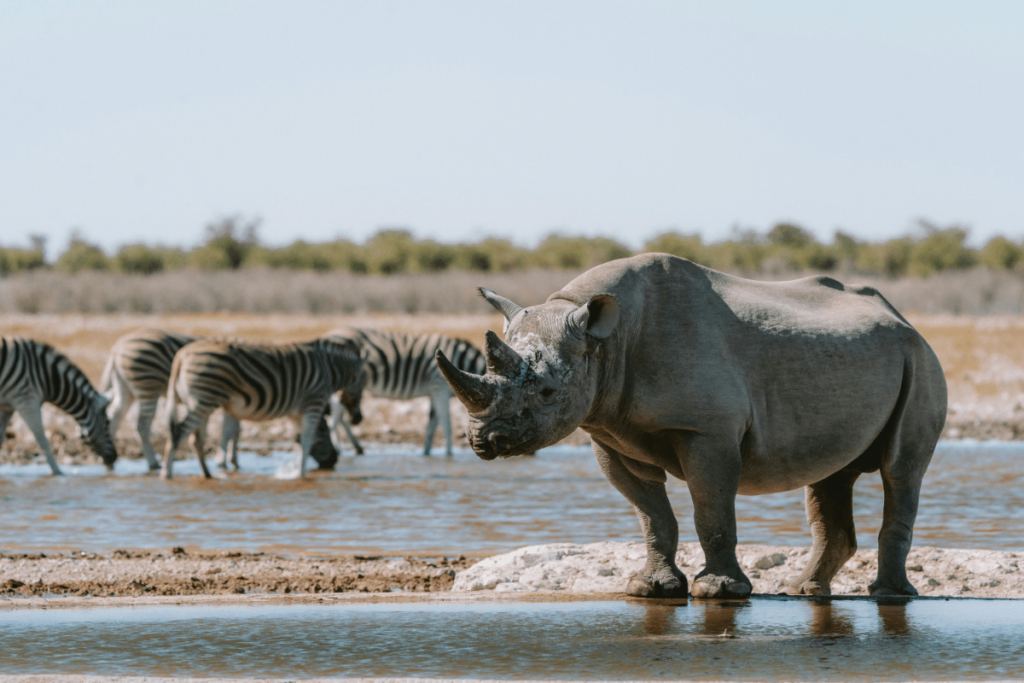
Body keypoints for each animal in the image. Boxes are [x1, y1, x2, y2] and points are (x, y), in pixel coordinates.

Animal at [0, 335, 117, 475]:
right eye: (107, 423)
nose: (114, 457)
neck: (46, 377)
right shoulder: (27, 402)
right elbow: (43, 440)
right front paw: (57, 472)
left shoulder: (7, 408)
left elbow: (0, 439)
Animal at [103, 327, 342, 473]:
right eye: (322, 431)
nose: (333, 461)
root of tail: (116, 347)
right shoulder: (234, 401)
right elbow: (229, 431)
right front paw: (224, 462)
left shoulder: (236, 402)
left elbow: (235, 430)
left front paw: (233, 461)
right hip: (148, 387)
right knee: (142, 424)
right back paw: (153, 463)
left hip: (126, 389)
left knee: (114, 416)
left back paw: (108, 458)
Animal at [161, 337, 366, 481]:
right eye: (363, 386)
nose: (358, 419)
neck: (329, 369)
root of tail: (181, 355)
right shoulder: (314, 402)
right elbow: (308, 440)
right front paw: (301, 474)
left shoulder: (296, 411)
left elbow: (302, 440)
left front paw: (297, 471)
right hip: (203, 400)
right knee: (177, 434)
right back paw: (166, 474)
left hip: (201, 403)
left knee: (196, 440)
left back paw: (207, 475)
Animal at [327, 327, 487, 456]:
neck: (462, 364)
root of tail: (331, 333)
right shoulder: (440, 387)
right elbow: (446, 425)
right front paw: (449, 455)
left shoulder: (434, 393)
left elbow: (431, 426)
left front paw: (426, 453)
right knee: (337, 416)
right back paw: (338, 449)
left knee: (341, 417)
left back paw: (357, 448)